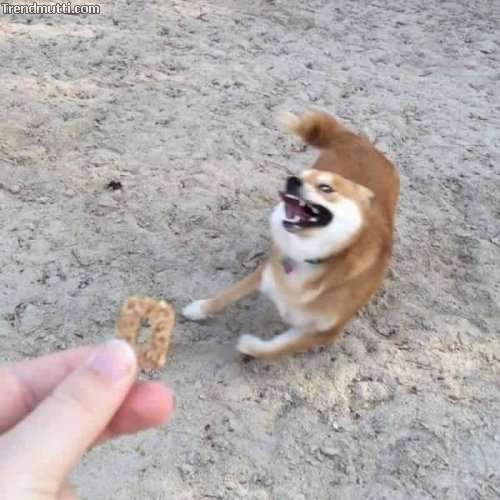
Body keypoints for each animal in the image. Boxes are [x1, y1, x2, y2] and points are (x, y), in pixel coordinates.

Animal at [183, 109, 399, 360]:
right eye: (300, 176)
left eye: (326, 188)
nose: (292, 180)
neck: (308, 256)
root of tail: (361, 141)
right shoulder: (264, 274)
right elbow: (228, 295)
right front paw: (199, 309)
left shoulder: (324, 332)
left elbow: (273, 348)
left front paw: (248, 345)